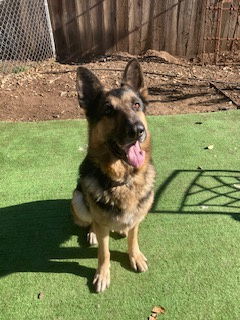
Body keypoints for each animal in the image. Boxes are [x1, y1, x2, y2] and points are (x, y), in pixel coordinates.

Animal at [71, 58, 156, 294]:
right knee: (92, 221)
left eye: (136, 105)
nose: (138, 130)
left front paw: (135, 256)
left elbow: (133, 239)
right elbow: (104, 252)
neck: (124, 179)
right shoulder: (101, 227)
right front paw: (102, 274)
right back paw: (92, 233)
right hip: (78, 199)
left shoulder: (137, 216)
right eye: (108, 110)